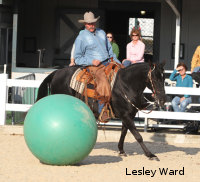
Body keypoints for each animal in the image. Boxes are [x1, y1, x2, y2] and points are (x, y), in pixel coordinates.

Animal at [36, 62, 166, 161]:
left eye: (164, 78)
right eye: (155, 78)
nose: (162, 100)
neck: (125, 85)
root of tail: (56, 72)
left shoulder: (128, 116)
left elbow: (124, 133)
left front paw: (121, 150)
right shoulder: (125, 116)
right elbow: (138, 136)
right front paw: (151, 155)